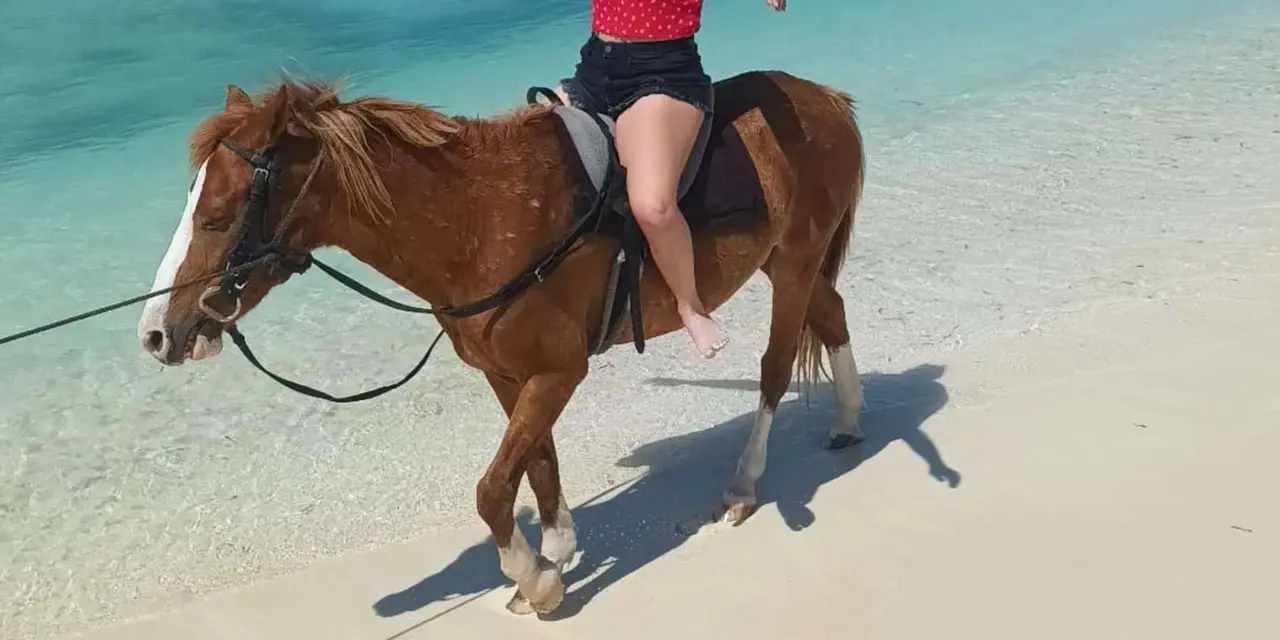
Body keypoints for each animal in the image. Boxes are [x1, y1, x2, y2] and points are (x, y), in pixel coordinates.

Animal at [135, 69, 867, 615]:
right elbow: (536, 464)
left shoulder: (558, 373)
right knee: (832, 316)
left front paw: (533, 577)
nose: (156, 334)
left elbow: (492, 489)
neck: (477, 222)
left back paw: (744, 484)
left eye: (216, 216)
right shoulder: (508, 376)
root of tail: (826, 97)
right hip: (789, 265)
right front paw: (558, 552)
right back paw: (850, 420)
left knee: (774, 368)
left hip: (794, 264)